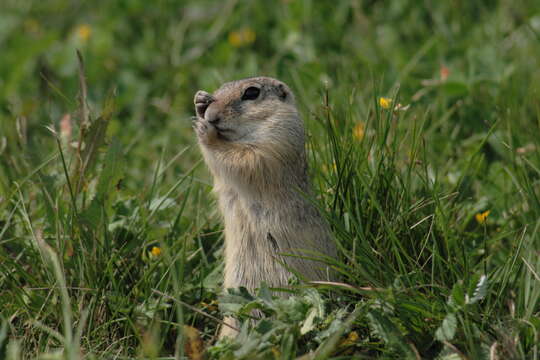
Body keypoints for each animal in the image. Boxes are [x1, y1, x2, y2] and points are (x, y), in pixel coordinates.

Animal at [194, 76, 336, 338]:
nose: (211, 115)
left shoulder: (278, 138)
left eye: (251, 93)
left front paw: (206, 131)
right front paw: (199, 102)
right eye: (219, 90)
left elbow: (248, 159)